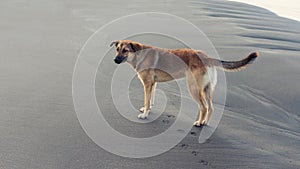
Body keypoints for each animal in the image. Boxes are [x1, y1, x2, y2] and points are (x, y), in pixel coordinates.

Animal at [110, 40, 258, 127]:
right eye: (117, 49)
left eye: (125, 50)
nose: (115, 60)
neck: (139, 55)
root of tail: (207, 57)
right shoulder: (153, 84)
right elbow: (150, 99)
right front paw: (148, 109)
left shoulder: (147, 84)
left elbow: (147, 100)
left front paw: (145, 115)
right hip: (206, 89)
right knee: (211, 108)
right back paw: (205, 123)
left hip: (194, 89)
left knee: (203, 107)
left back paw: (199, 123)